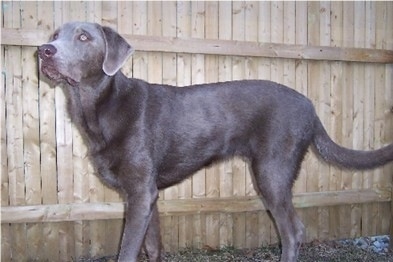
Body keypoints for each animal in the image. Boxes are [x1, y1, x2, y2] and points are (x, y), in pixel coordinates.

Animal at [37, 21, 392, 260]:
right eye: (55, 35)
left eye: (84, 37)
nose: (44, 51)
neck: (99, 107)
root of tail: (312, 110)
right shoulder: (147, 195)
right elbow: (152, 246)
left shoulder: (139, 193)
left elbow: (127, 251)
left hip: (271, 173)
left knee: (293, 231)